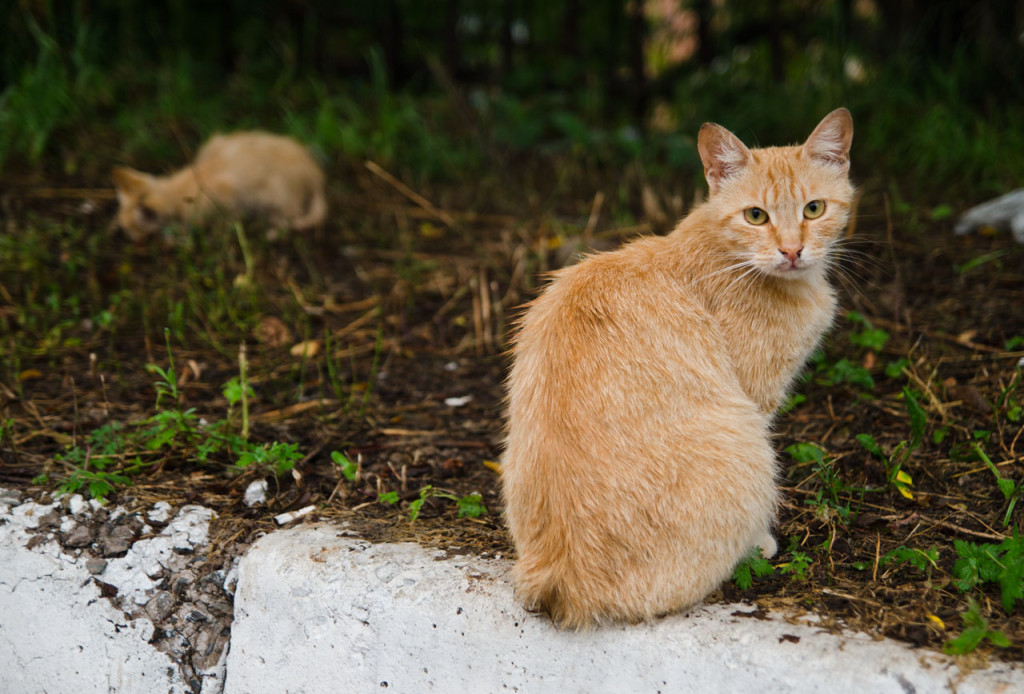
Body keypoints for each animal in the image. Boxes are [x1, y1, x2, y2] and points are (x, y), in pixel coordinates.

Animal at [111, 131, 323, 241]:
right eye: (125, 226)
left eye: (131, 228)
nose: (130, 236)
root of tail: (315, 171)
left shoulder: (226, 192)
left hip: (276, 196)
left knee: (289, 216)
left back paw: (271, 232)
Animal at [499, 108, 851, 630]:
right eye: (756, 215)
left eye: (814, 209)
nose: (792, 251)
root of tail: (562, 582)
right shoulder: (757, 400)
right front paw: (760, 540)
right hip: (748, 440)